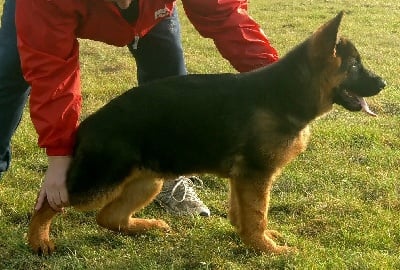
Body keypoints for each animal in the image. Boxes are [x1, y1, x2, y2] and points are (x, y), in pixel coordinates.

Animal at [27, 11, 384, 255]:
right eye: (354, 66)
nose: (383, 83)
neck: (285, 93)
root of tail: (87, 124)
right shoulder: (255, 175)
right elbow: (258, 215)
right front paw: (267, 250)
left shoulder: (244, 179)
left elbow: (246, 215)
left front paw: (256, 242)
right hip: (100, 182)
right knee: (47, 202)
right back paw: (38, 241)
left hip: (148, 181)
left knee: (109, 217)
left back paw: (147, 227)